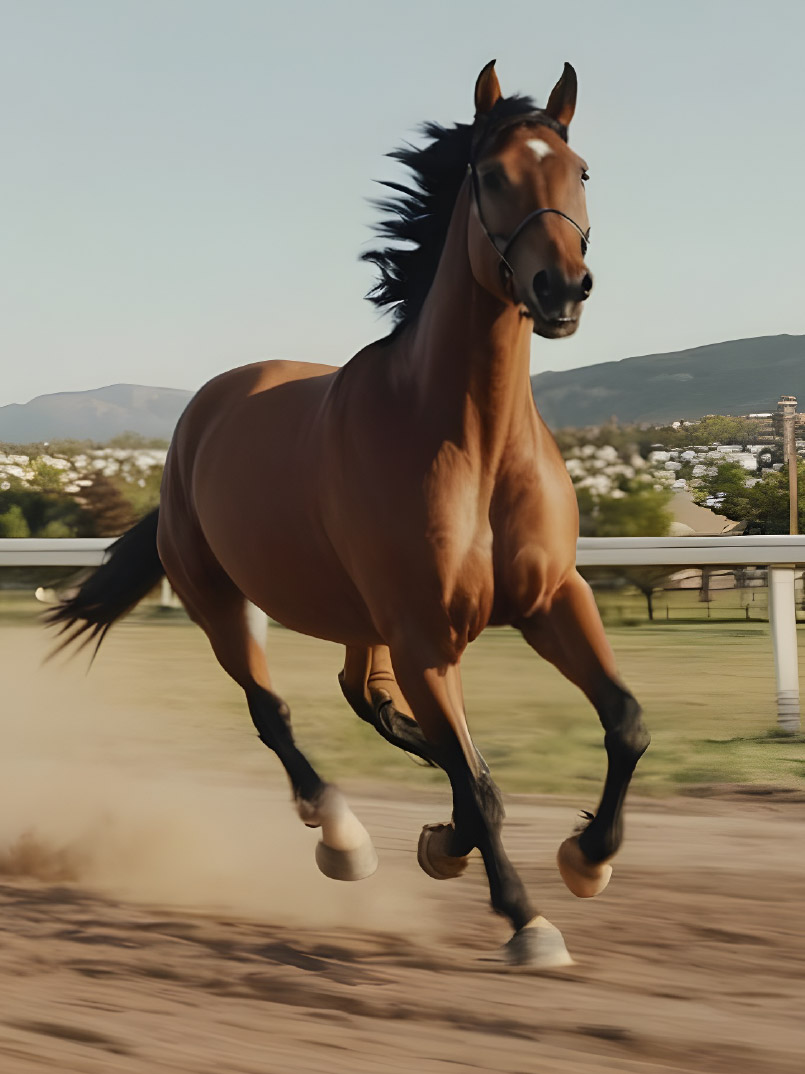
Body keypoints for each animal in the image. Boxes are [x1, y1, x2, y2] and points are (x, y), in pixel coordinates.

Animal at [50, 62, 648, 975]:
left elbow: (622, 723)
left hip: (364, 624)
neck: (465, 441)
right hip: (223, 602)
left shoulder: (549, 600)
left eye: (579, 171)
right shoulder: (422, 637)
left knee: (367, 701)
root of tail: (198, 421)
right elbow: (474, 782)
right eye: (492, 174)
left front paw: (585, 859)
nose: (561, 289)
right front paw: (525, 919)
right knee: (275, 713)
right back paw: (342, 835)